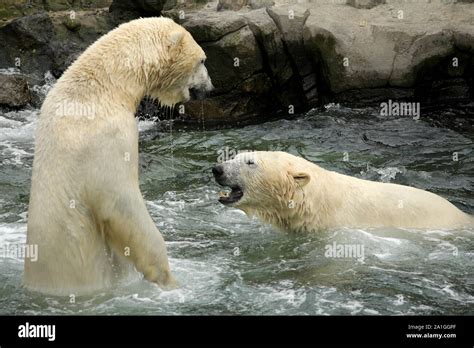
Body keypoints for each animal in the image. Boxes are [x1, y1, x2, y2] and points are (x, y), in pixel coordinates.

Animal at [24, 15, 213, 294]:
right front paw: (166, 277)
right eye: (202, 60)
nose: (210, 88)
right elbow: (120, 204)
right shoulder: (106, 138)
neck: (101, 90)